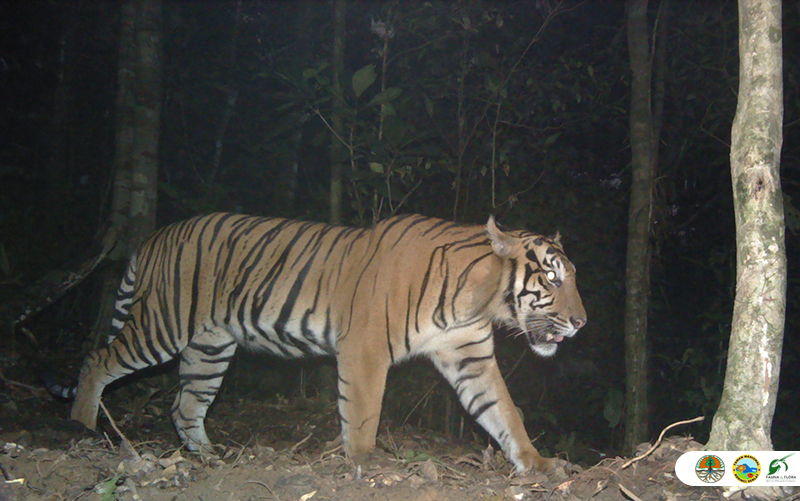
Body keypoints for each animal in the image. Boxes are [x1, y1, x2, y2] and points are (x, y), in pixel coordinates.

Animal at [64, 211, 588, 472]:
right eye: (553, 277)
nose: (582, 323)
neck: (478, 298)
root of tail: (153, 239)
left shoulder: (470, 358)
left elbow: (504, 412)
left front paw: (538, 464)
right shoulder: (365, 349)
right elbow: (363, 410)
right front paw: (364, 463)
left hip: (210, 347)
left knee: (185, 405)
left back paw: (211, 458)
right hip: (162, 325)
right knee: (96, 360)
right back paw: (83, 431)